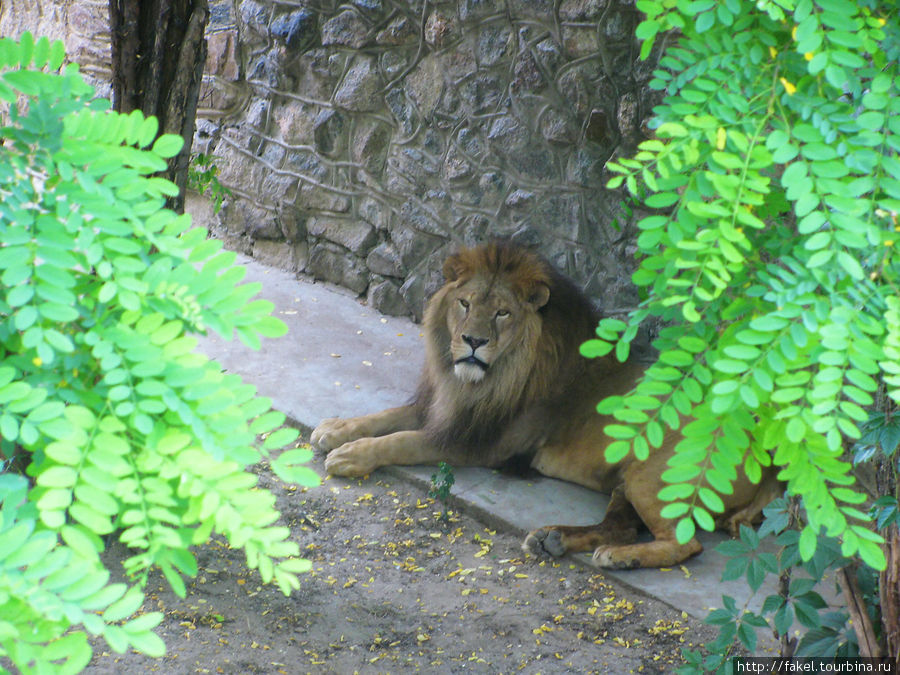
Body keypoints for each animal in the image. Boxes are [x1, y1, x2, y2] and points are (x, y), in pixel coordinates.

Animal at [312, 243, 784, 572]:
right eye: (465, 303)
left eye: (502, 313)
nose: (473, 341)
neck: (481, 381)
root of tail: (765, 452)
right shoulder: (444, 407)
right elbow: (386, 418)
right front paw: (335, 429)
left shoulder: (479, 442)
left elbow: (401, 441)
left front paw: (351, 455)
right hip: (625, 480)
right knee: (620, 524)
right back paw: (552, 539)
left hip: (651, 475)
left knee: (687, 543)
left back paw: (619, 557)